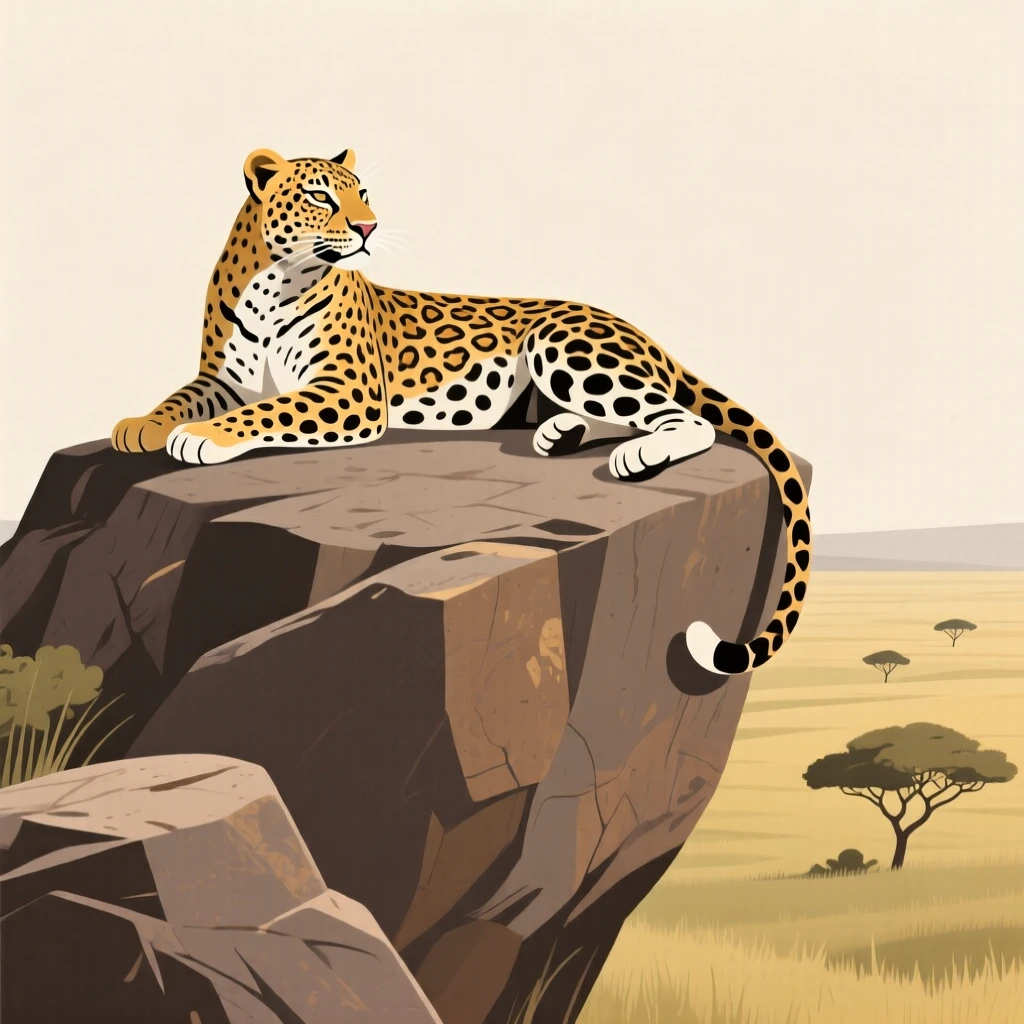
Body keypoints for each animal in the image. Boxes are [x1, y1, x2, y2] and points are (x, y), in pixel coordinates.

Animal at [112, 147, 812, 677]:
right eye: (320, 196)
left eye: (363, 194)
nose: (368, 228)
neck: (273, 280)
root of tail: (644, 333)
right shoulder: (221, 377)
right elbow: (182, 396)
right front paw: (138, 427)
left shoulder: (349, 393)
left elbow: (267, 413)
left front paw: (200, 437)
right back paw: (559, 433)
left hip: (563, 345)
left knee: (685, 418)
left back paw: (637, 455)